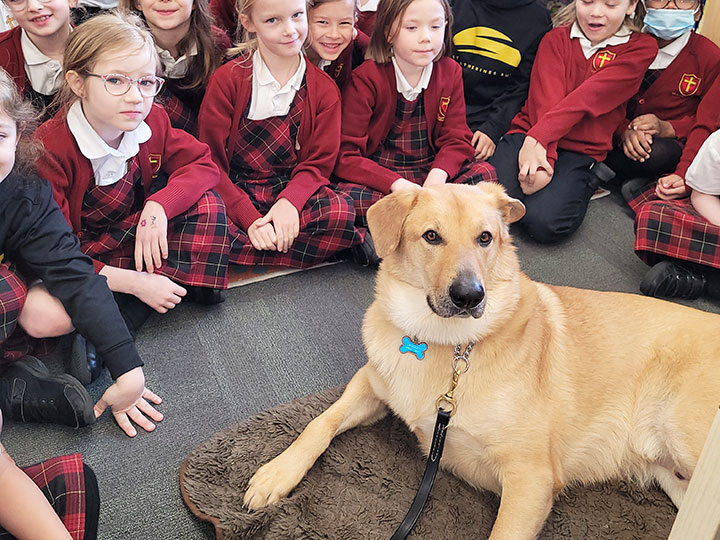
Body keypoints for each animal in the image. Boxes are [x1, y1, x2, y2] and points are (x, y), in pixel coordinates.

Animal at [243, 182, 720, 540]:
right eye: (431, 236)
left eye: (485, 238)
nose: (471, 296)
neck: (446, 344)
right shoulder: (369, 384)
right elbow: (318, 423)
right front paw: (276, 474)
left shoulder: (531, 479)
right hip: (676, 480)